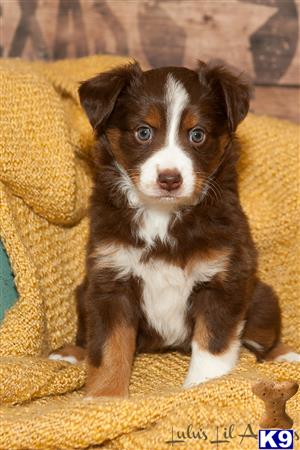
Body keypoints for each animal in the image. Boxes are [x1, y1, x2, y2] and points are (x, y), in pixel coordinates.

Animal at [48, 60, 298, 398]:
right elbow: (109, 347)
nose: (169, 179)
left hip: (262, 296)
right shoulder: (110, 279)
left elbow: (213, 345)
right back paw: (71, 353)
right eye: (143, 132)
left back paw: (283, 354)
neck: (162, 217)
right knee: (88, 337)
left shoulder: (223, 279)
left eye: (197, 134)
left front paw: (203, 387)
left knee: (263, 335)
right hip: (82, 292)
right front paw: (104, 398)